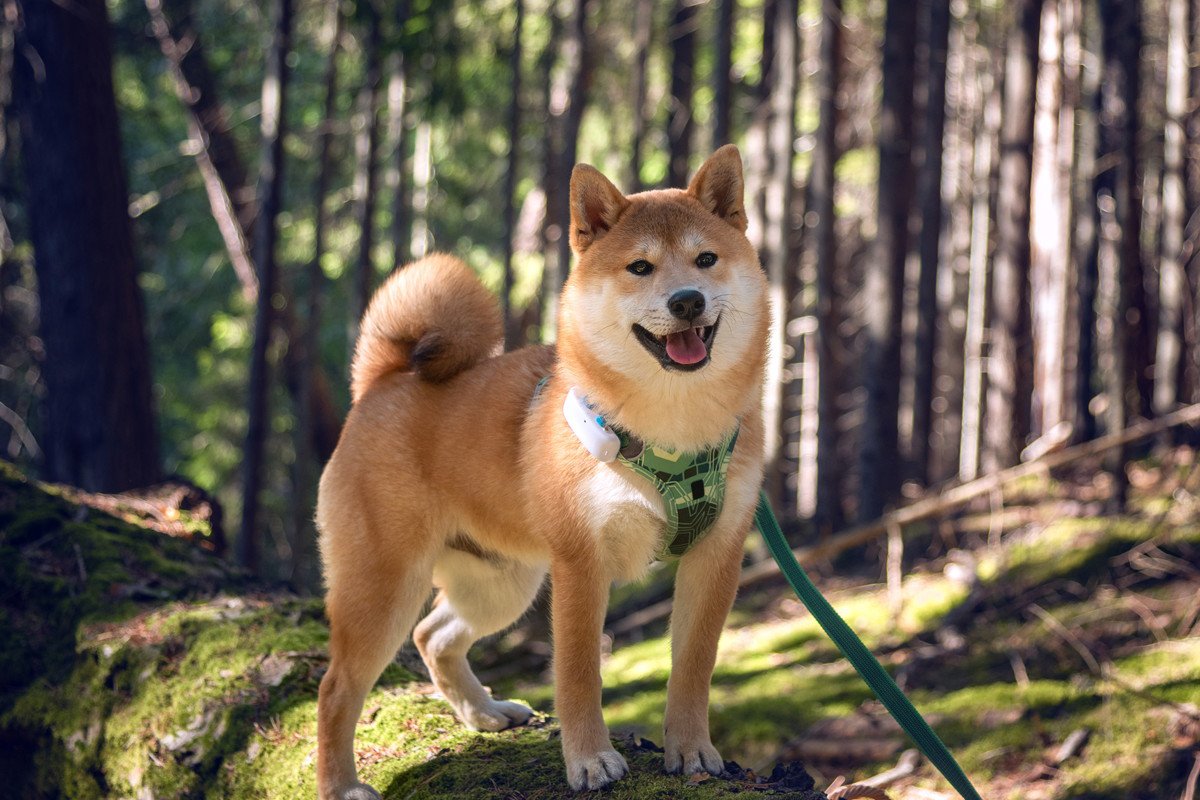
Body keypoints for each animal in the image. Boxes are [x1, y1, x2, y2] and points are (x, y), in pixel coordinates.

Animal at [316, 145, 768, 800]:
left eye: (706, 259)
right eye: (640, 267)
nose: (686, 300)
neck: (672, 428)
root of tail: (383, 381)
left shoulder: (717, 554)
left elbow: (693, 666)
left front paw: (691, 750)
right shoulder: (582, 562)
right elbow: (579, 673)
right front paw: (590, 760)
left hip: (501, 582)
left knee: (435, 637)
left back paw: (484, 713)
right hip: (384, 588)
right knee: (335, 689)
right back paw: (341, 784)